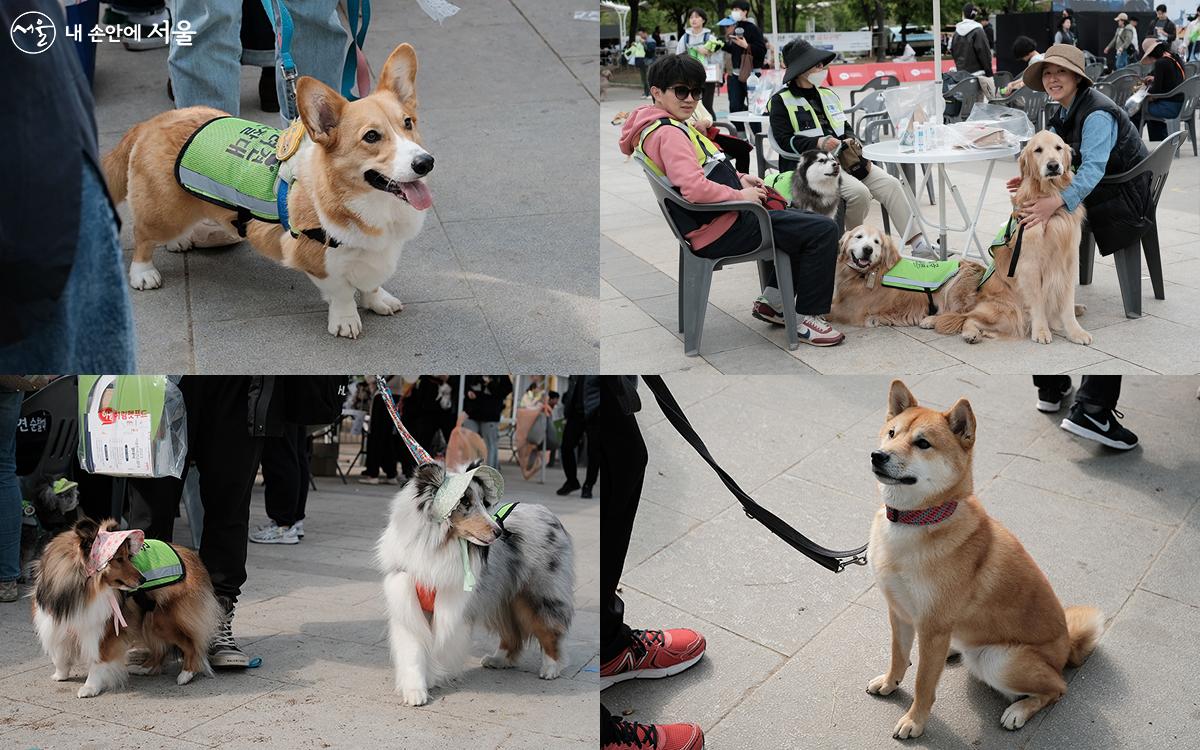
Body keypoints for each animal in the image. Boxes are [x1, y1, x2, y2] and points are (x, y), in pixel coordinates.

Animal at [31, 513, 220, 696]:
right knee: (161, 649)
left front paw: (90, 687)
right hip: (148, 620)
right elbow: (60, 655)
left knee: (191, 644)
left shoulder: (102, 630)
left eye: (128, 557)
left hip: (161, 620)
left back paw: (186, 674)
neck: (81, 589)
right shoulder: (59, 623)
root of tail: (193, 557)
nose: (143, 579)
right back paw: (144, 668)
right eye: (119, 559)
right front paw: (60, 674)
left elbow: (97, 660)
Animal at [100, 45, 434, 338]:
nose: (425, 163)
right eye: (371, 136)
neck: (374, 204)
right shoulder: (316, 259)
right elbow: (341, 292)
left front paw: (378, 300)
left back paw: (178, 242)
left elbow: (371, 283)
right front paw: (346, 321)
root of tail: (152, 122)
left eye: (408, 123)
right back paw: (143, 273)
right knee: (142, 235)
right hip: (163, 211)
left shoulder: (375, 252)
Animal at [379, 458, 576, 705]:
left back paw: (551, 668)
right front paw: (415, 691)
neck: (440, 545)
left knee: (549, 629)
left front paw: (432, 678)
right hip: (504, 596)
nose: (500, 532)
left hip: (538, 594)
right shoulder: (407, 599)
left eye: (484, 502)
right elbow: (413, 649)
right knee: (513, 633)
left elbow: (439, 644)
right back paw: (499, 659)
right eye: (464, 502)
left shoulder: (452, 605)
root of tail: (546, 511)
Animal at [868, 379, 1099, 739]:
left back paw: (1019, 711)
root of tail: (1066, 649)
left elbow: (923, 683)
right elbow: (898, 656)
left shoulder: (933, 626)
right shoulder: (901, 612)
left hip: (999, 660)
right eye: (891, 433)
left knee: (1058, 688)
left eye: (922, 443)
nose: (878, 456)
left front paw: (915, 721)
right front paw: (891, 683)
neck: (917, 521)